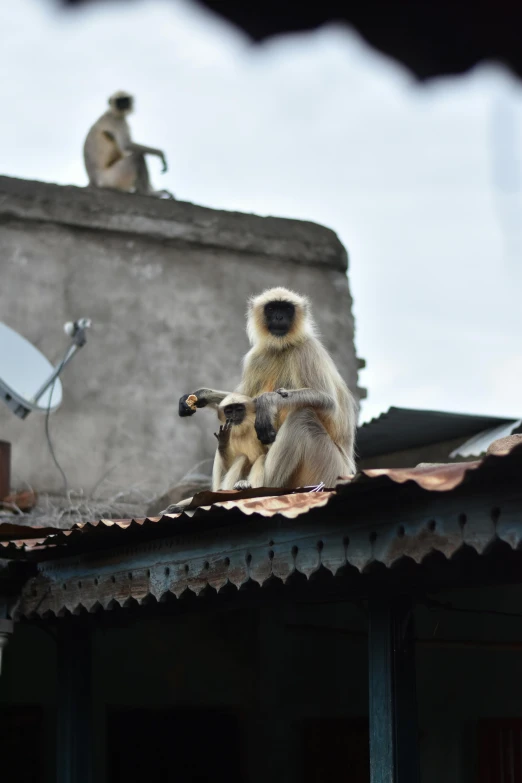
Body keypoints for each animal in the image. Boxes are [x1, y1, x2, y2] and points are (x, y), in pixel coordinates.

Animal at [177, 288, 356, 490]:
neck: (282, 348)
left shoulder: (307, 349)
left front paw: (267, 401)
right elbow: (245, 399)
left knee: (303, 417)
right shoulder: (256, 357)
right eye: (272, 309)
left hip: (327, 467)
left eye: (286, 309)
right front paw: (200, 396)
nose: (279, 317)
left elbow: (327, 401)